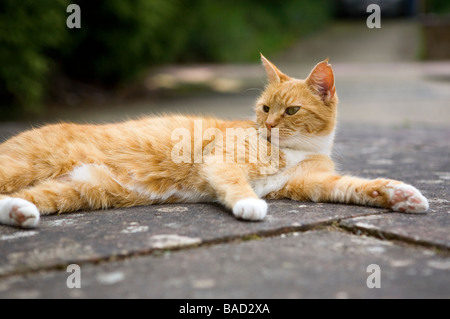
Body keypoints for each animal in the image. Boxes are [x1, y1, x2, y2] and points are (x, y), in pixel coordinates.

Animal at [0, 56, 428, 229]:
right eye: (265, 107)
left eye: (290, 111)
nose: (268, 123)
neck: (294, 150)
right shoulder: (221, 160)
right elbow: (236, 182)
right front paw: (249, 204)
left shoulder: (314, 184)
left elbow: (356, 186)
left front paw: (400, 195)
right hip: (24, 167)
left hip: (77, 190)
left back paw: (20, 213)